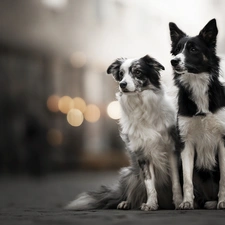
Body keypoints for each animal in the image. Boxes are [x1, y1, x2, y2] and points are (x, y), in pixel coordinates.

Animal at [66, 54, 182, 211]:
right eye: (121, 74)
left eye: (137, 72)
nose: (122, 84)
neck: (142, 107)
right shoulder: (143, 154)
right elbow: (149, 184)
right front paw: (151, 204)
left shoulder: (171, 150)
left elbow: (176, 182)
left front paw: (179, 202)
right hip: (130, 174)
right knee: (133, 193)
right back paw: (126, 203)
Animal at [169, 18, 225, 209]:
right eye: (177, 50)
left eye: (193, 49)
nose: (173, 61)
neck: (198, 87)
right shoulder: (186, 143)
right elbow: (187, 180)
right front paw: (186, 202)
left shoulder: (223, 140)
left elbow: (224, 179)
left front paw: (223, 201)